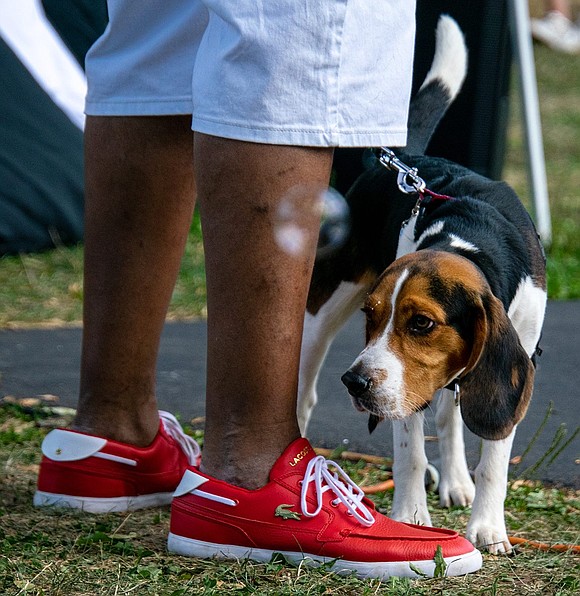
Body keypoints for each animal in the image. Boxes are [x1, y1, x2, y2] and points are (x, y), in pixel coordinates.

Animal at [296, 14, 548, 556]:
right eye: (371, 316)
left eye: (422, 323)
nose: (355, 382)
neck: (467, 239)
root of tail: (407, 159)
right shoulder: (401, 382)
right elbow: (409, 451)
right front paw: (410, 519)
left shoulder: (515, 353)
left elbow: (494, 456)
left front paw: (488, 527)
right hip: (322, 312)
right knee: (304, 391)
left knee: (452, 415)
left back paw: (455, 480)